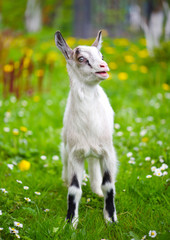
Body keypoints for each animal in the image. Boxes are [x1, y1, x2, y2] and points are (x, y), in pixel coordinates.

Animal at [54, 31, 118, 228]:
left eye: (101, 56)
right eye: (81, 58)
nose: (104, 66)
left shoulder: (108, 152)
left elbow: (109, 185)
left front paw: (111, 219)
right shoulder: (75, 153)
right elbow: (74, 189)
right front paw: (70, 222)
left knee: (94, 165)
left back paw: (96, 190)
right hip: (66, 146)